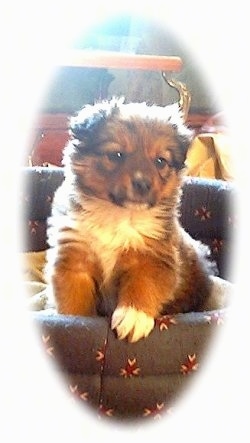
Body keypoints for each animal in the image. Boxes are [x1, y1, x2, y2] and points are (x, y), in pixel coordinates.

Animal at [46, 99, 216, 344]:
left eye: (160, 161)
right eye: (116, 155)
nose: (143, 184)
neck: (119, 215)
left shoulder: (153, 258)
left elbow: (143, 284)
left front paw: (134, 317)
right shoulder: (74, 259)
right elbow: (74, 303)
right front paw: (73, 321)